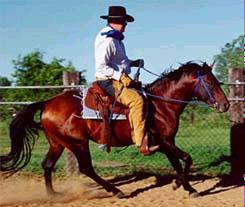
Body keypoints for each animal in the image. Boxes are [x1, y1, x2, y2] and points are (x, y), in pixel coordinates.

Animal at [0, 61, 230, 197]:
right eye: (211, 82)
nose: (225, 105)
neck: (161, 105)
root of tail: (47, 103)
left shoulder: (165, 142)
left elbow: (178, 163)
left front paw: (186, 187)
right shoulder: (164, 141)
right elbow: (187, 159)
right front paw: (183, 186)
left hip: (58, 143)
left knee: (47, 165)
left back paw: (53, 195)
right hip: (78, 143)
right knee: (86, 168)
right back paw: (116, 191)